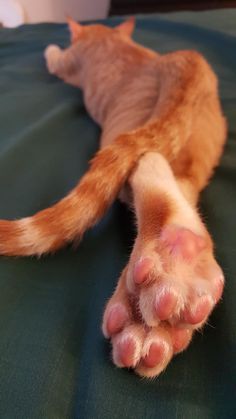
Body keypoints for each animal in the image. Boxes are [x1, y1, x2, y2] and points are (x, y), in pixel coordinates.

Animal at [0, 15, 228, 378]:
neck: (108, 36)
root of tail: (185, 61)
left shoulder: (67, 61)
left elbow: (55, 56)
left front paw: (51, 44)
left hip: (121, 131)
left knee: (147, 162)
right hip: (202, 150)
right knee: (179, 186)